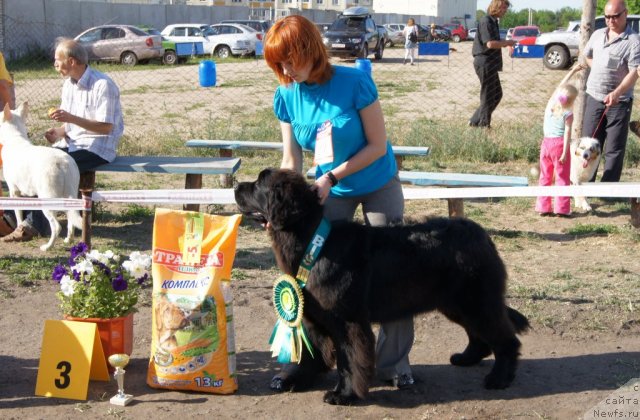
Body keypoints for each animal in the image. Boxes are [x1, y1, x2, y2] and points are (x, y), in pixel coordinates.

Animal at [0, 102, 82, 251]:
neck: (15, 138)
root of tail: (63, 163)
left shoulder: (14, 192)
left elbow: (18, 215)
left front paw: (19, 230)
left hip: (47, 201)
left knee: (56, 227)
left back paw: (47, 247)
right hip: (69, 197)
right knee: (71, 222)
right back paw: (68, 240)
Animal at [235, 169, 528, 406]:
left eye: (258, 184)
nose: (237, 185)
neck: (313, 242)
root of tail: (482, 234)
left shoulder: (348, 321)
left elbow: (349, 360)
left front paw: (344, 394)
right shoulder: (313, 313)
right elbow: (312, 351)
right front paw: (297, 379)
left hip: (476, 301)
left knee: (506, 339)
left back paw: (499, 378)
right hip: (456, 303)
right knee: (477, 334)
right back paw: (467, 358)